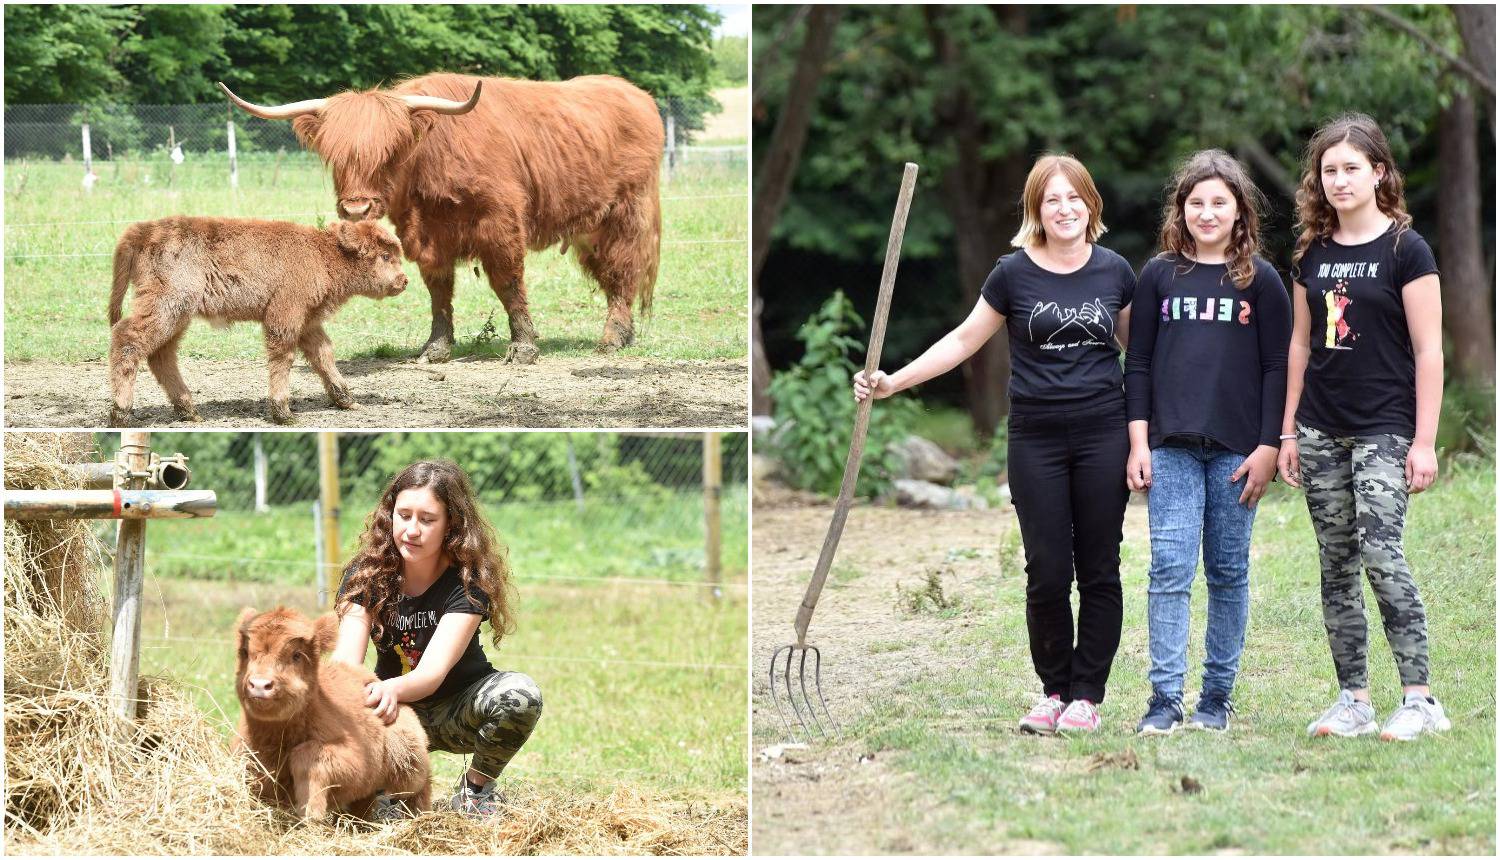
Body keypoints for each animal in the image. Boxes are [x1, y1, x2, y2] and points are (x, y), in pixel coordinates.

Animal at [105, 216, 411, 423]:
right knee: (128, 339)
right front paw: (283, 413)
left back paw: (189, 411)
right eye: (385, 255)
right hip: (167, 307)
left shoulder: (308, 322)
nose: (404, 280)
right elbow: (283, 358)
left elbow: (323, 355)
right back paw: (121, 413)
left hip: (178, 317)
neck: (322, 253)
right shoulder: (284, 316)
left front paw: (347, 401)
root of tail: (141, 231)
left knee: (161, 355)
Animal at [220, 73, 663, 366]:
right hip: (589, 226)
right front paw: (436, 347)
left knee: (624, 271)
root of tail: (637, 95)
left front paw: (523, 346)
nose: (356, 210)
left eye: (390, 152)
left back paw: (612, 338)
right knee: (609, 273)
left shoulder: (500, 223)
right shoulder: (426, 235)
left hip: (627, 214)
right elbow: (438, 289)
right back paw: (623, 336)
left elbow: (508, 282)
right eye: (334, 155)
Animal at [234, 603, 432, 816]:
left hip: (406, 757)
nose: (260, 684)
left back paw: (421, 813)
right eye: (245, 652)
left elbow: (306, 754)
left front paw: (311, 808)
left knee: (420, 783)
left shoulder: (357, 760)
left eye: (297, 655)